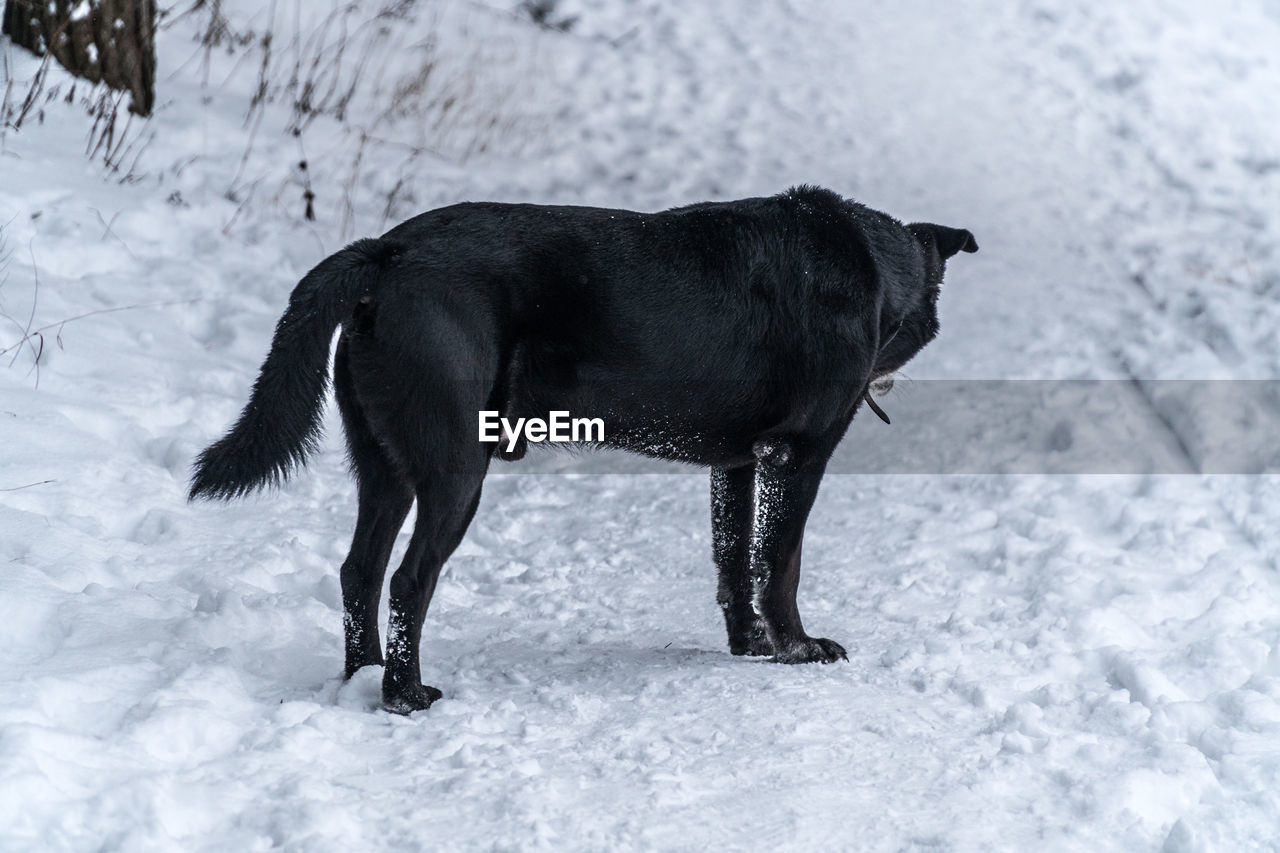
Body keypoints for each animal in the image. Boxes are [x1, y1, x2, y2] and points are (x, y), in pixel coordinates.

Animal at [189, 188, 972, 712]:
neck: (873, 267)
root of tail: (387, 251)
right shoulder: (796, 455)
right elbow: (781, 563)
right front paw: (798, 648)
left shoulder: (737, 464)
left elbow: (732, 558)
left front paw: (748, 642)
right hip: (456, 466)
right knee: (411, 579)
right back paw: (406, 693)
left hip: (384, 465)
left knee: (360, 570)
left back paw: (362, 677)